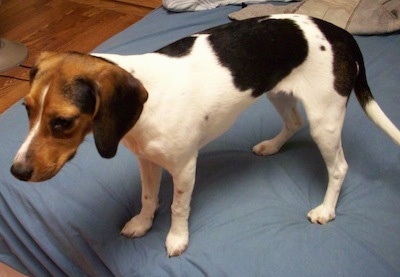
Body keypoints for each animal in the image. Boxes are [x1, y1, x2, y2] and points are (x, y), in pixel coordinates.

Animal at [10, 14, 400, 256]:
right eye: (26, 109)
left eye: (63, 121)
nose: (16, 172)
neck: (143, 108)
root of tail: (337, 31)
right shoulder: (148, 162)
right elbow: (149, 199)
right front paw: (142, 223)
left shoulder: (184, 167)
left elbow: (178, 207)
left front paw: (176, 238)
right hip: (278, 93)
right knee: (293, 123)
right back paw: (271, 146)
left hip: (326, 120)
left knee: (339, 168)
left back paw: (326, 209)